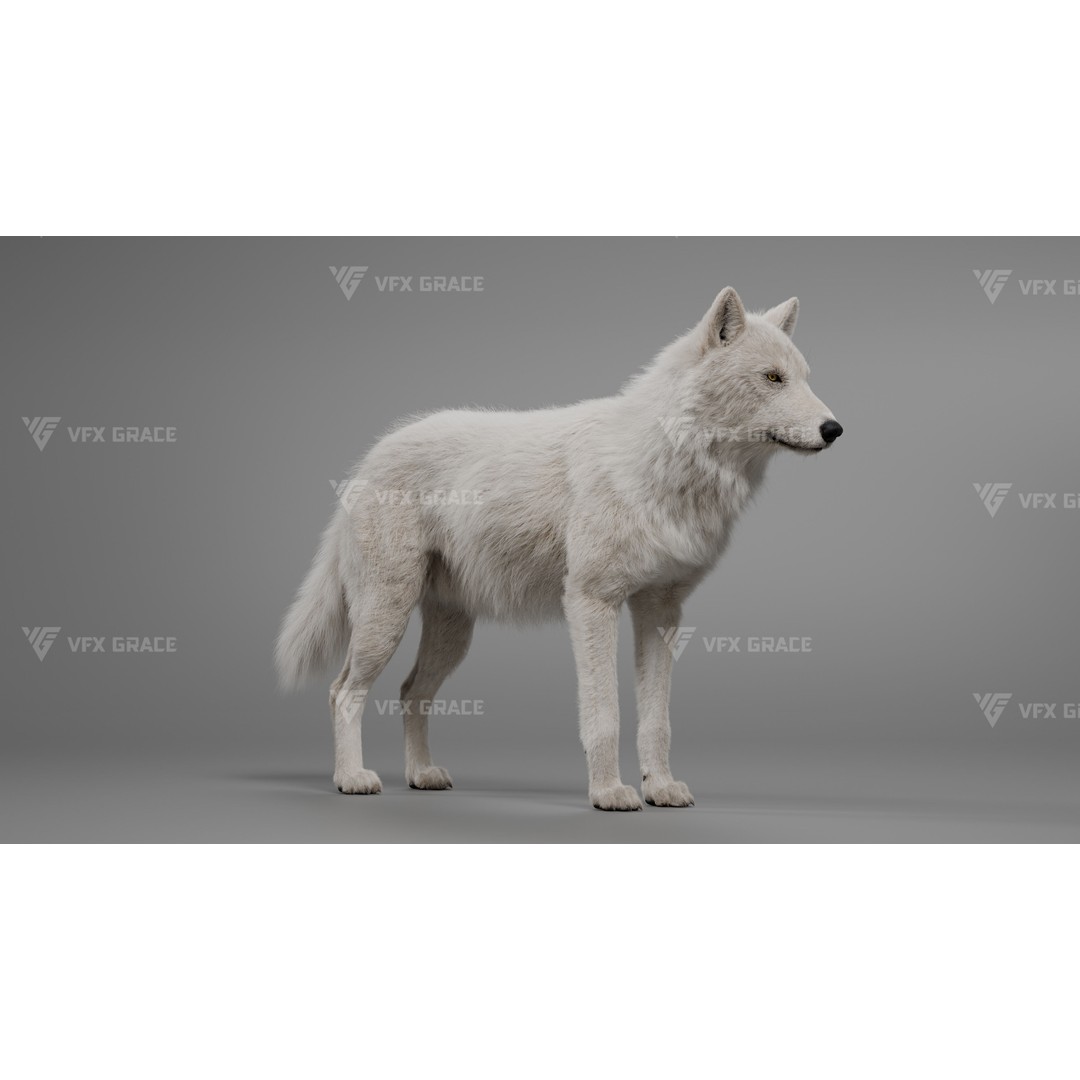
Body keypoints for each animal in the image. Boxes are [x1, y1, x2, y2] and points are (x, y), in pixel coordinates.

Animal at [275, 287, 843, 810]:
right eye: (773, 378)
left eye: (805, 377)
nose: (834, 429)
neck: (665, 464)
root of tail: (370, 456)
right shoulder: (592, 602)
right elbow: (605, 714)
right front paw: (609, 793)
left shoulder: (660, 611)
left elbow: (656, 720)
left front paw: (659, 788)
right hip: (386, 617)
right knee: (344, 691)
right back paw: (352, 779)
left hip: (452, 634)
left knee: (410, 692)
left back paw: (421, 775)